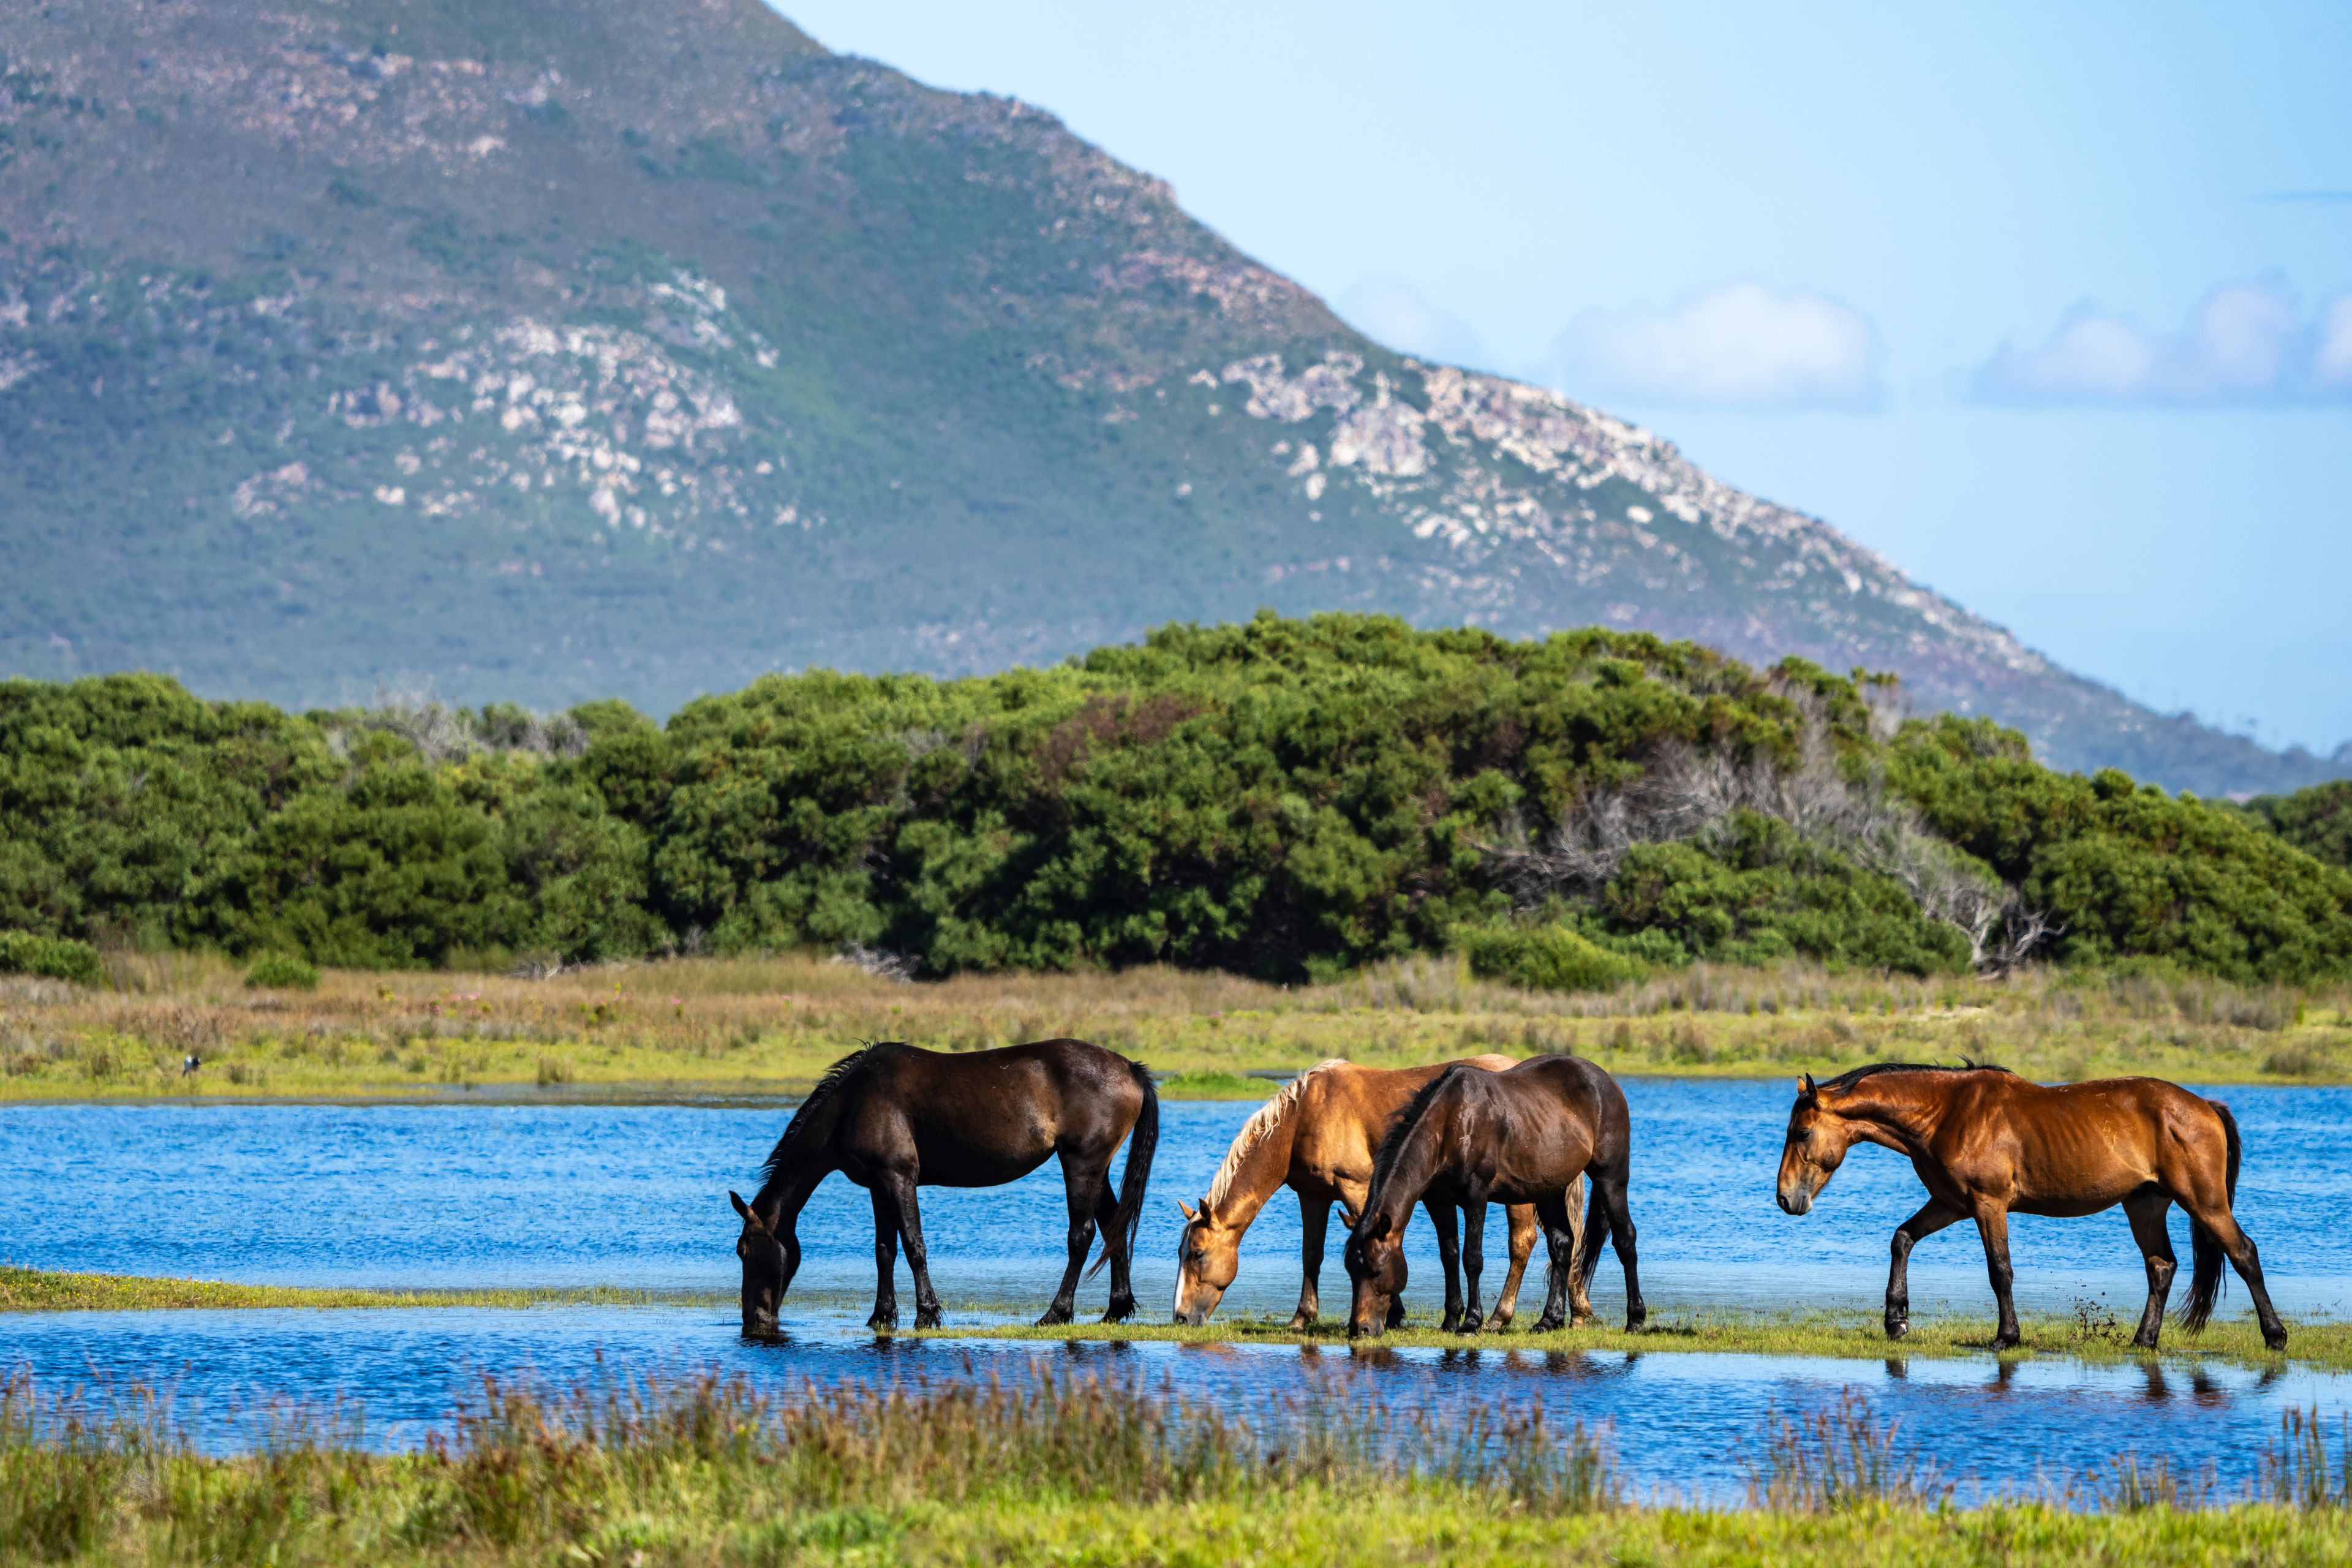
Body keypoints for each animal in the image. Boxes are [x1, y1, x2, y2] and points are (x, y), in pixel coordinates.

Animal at [727, 1039, 1157, 1335]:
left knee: (1081, 1236)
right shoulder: (878, 1184)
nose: (753, 1318)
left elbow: (913, 1246)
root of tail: (1129, 1068)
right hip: (1096, 1169)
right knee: (1114, 1226)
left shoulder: (899, 1177)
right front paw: (881, 1315)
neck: (852, 1104)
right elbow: (885, 1250)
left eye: (743, 1250)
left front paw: (926, 1314)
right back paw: (1116, 1309)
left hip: (1082, 1164)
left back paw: (1056, 1313)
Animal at [1172, 1055, 1586, 1331]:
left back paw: (1500, 1317)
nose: (1180, 1316)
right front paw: (1302, 1318)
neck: (1305, 1116)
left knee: (1522, 1243)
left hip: (1520, 1196)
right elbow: (1312, 1256)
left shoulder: (1356, 1189)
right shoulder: (1314, 1196)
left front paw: (1393, 1313)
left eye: (1197, 1254)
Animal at [1343, 1054, 1641, 1339]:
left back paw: (1635, 1320)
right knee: (1562, 1245)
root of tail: (1608, 1082)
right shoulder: (1439, 1202)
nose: (1360, 1329)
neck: (1451, 1123)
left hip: (1610, 1178)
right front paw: (1451, 1319)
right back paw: (1549, 1320)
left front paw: (1471, 1322)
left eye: (1376, 1270)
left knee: (1625, 1239)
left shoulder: (1476, 1196)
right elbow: (1449, 1256)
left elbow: (1472, 1258)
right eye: (1351, 1270)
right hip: (1550, 1190)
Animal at [1774, 1063, 2287, 1352]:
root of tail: (2205, 1106)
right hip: (2145, 1205)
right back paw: (2144, 1341)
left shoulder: (1988, 1204)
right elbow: (1902, 1239)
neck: (1947, 1112)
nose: (1785, 1198)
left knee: (2244, 1254)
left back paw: (2275, 1336)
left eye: (1802, 1133)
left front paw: (2006, 1337)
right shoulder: (1951, 1203)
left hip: (2205, 1203)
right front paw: (1896, 1320)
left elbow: (2000, 1271)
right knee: (2161, 1266)